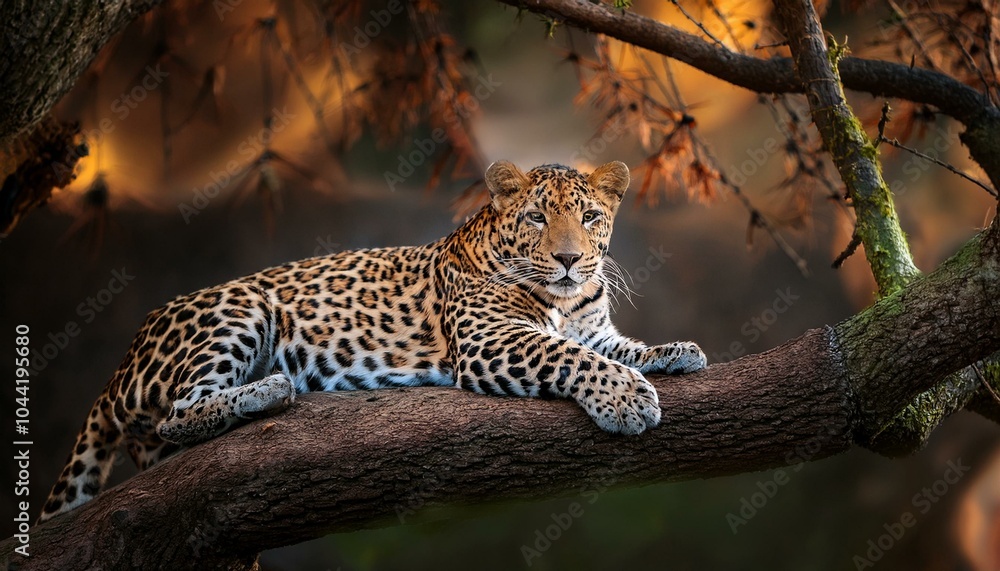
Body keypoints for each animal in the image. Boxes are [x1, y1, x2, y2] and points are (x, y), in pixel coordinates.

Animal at [38, 160, 706, 523]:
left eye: (590, 217)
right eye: (538, 218)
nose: (570, 260)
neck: (566, 301)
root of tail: (119, 368)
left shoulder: (595, 329)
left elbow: (613, 348)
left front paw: (675, 353)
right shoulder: (492, 338)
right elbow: (568, 354)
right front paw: (626, 399)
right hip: (241, 307)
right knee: (179, 411)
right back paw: (270, 390)